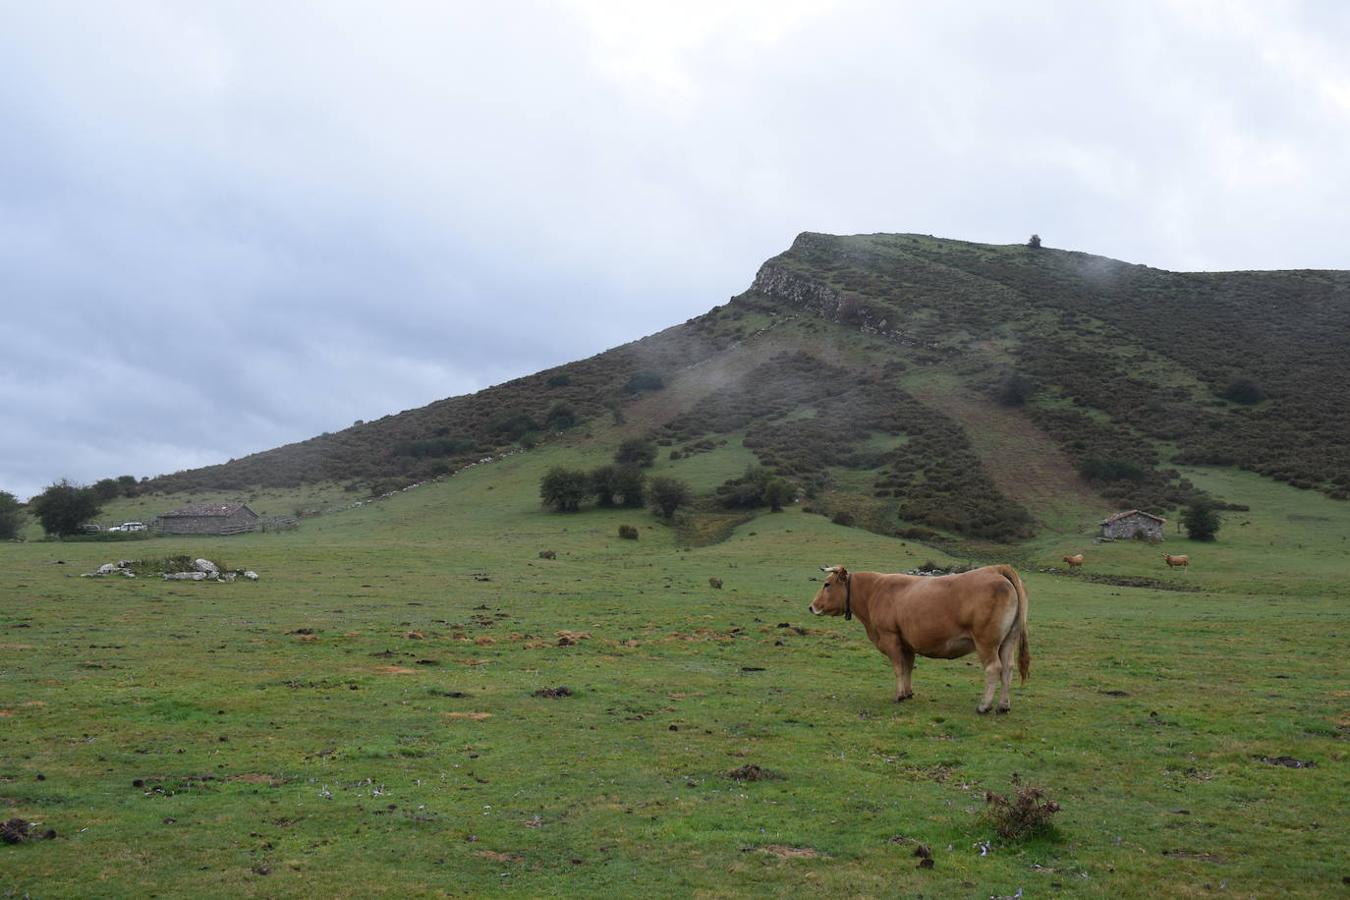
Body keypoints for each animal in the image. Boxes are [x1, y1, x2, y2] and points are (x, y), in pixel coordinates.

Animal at [804, 564, 1026, 717]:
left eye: (827, 584)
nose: (811, 606)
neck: (873, 591)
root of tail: (995, 569)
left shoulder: (890, 638)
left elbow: (898, 668)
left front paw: (899, 695)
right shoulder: (907, 643)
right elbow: (908, 667)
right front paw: (908, 692)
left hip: (986, 642)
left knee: (993, 668)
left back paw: (984, 706)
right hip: (1008, 641)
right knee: (1008, 669)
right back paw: (1003, 706)